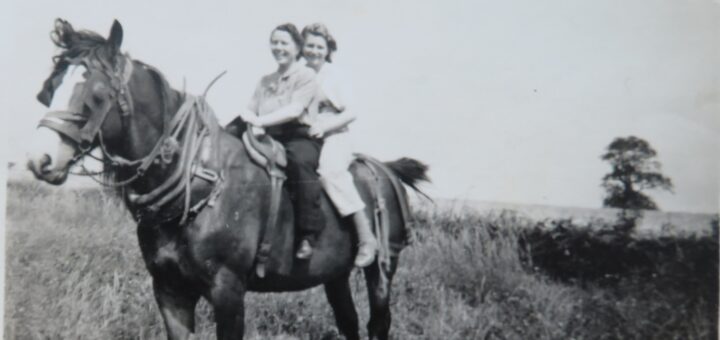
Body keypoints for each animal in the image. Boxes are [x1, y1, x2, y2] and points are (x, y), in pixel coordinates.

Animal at [28, 19, 430, 340]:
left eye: (96, 94)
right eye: (50, 87)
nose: (40, 159)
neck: (200, 185)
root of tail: (386, 170)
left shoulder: (228, 292)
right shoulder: (169, 291)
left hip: (383, 268)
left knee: (378, 322)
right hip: (335, 274)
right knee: (348, 321)